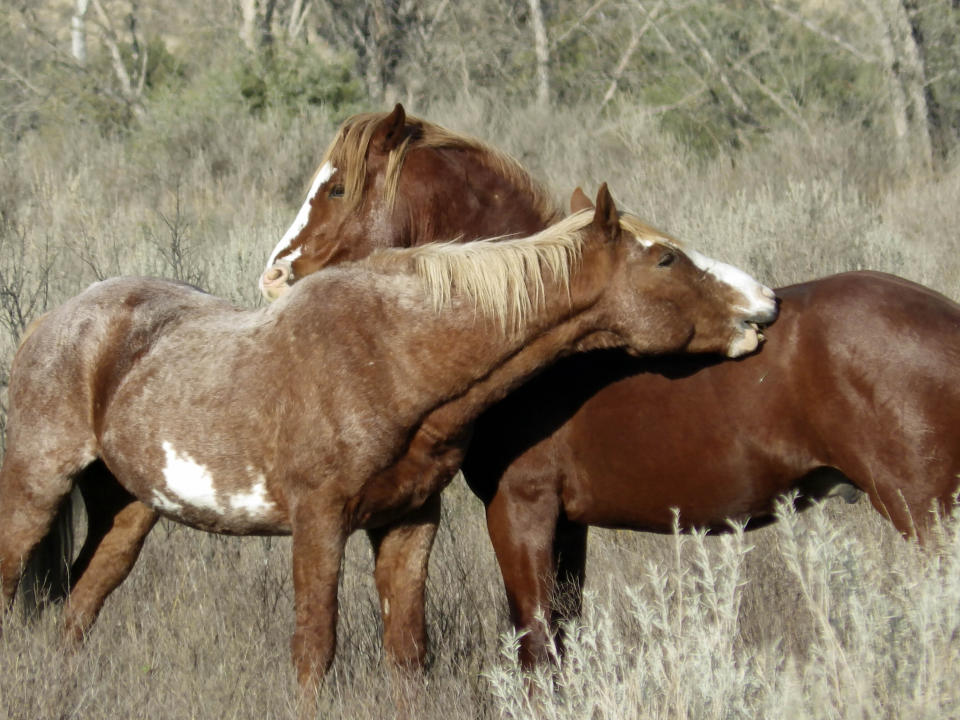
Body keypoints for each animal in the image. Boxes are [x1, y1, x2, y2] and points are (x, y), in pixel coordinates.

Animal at [0, 186, 776, 688]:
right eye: (665, 260)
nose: (764, 304)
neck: (392, 353)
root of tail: (53, 321)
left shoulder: (407, 522)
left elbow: (407, 651)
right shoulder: (319, 523)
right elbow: (316, 651)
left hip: (129, 511)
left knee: (80, 605)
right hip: (35, 493)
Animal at [256, 104, 960, 668]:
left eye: (336, 188)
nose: (274, 277)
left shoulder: (520, 511)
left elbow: (537, 647)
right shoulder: (569, 526)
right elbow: (564, 634)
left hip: (923, 513)